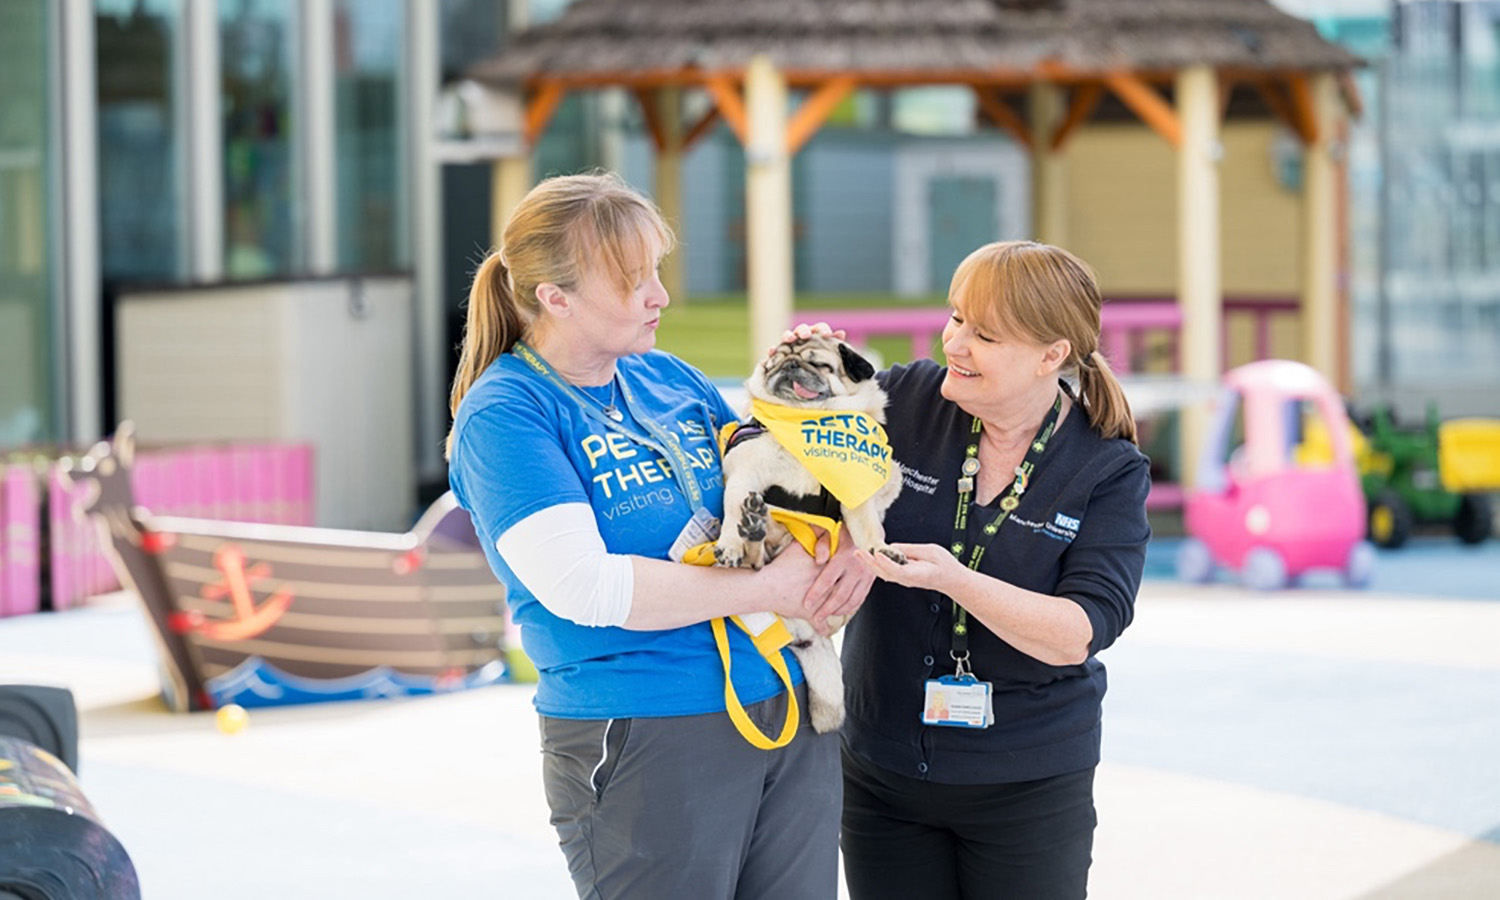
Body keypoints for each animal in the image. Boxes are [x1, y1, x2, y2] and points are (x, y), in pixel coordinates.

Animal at [714, 334, 900, 735]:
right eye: (774, 363)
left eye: (817, 364)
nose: (789, 366)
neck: (805, 419)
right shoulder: (745, 474)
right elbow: (733, 506)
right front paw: (730, 542)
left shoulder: (855, 491)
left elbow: (867, 527)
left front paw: (879, 551)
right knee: (756, 558)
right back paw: (750, 532)